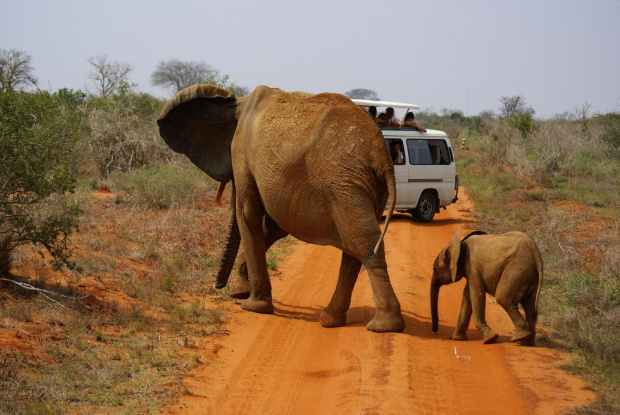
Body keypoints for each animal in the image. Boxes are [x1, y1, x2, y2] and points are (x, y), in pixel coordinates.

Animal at [157, 84, 404, 334]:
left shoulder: (242, 154)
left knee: (363, 242)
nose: (219, 286)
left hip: (344, 182)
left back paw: (384, 326)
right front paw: (241, 290)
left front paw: (252, 305)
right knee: (356, 247)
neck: (237, 105)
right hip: (363, 186)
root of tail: (380, 153)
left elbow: (248, 215)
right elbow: (275, 228)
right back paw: (330, 320)